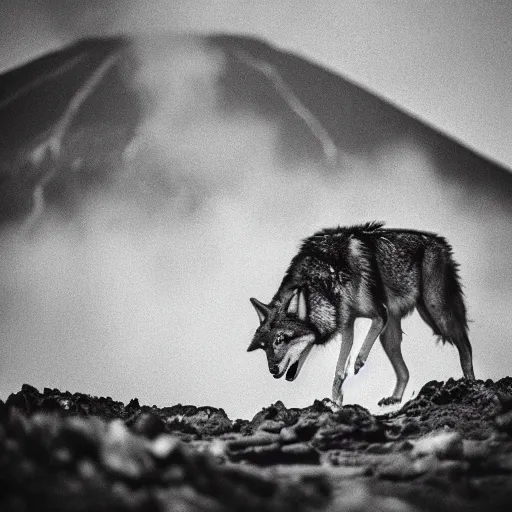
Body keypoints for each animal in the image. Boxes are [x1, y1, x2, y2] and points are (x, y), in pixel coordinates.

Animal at [248, 222, 476, 406]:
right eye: (264, 347)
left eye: (280, 340)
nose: (272, 370)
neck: (324, 278)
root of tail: (439, 242)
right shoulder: (347, 324)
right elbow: (339, 370)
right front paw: (335, 402)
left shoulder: (378, 313)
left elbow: (367, 337)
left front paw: (358, 362)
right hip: (391, 337)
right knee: (405, 372)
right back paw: (394, 399)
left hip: (436, 313)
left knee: (465, 344)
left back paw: (470, 383)